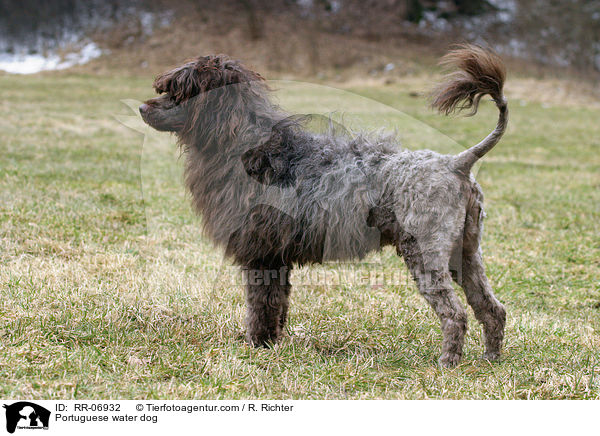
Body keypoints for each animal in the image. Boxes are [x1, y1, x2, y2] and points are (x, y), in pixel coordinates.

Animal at [139, 44, 506, 366]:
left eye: (179, 91)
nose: (143, 108)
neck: (248, 149)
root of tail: (457, 164)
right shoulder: (277, 257)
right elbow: (278, 304)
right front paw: (274, 341)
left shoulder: (261, 256)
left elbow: (261, 305)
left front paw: (257, 345)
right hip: (465, 254)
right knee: (492, 309)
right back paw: (491, 358)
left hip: (425, 254)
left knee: (455, 314)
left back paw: (448, 362)